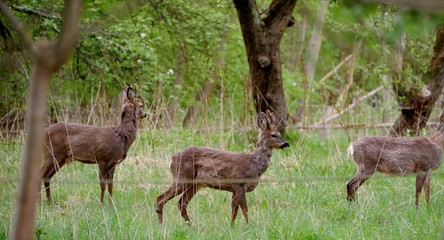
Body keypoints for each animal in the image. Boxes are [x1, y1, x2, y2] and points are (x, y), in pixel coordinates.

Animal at [155, 109, 288, 224]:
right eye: (273, 135)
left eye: (279, 133)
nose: (286, 144)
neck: (254, 165)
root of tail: (172, 159)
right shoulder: (239, 184)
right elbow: (245, 210)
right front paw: (248, 226)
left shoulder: (234, 188)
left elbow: (234, 212)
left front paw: (232, 226)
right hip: (181, 177)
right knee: (161, 198)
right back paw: (161, 225)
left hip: (195, 184)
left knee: (181, 203)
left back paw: (189, 225)